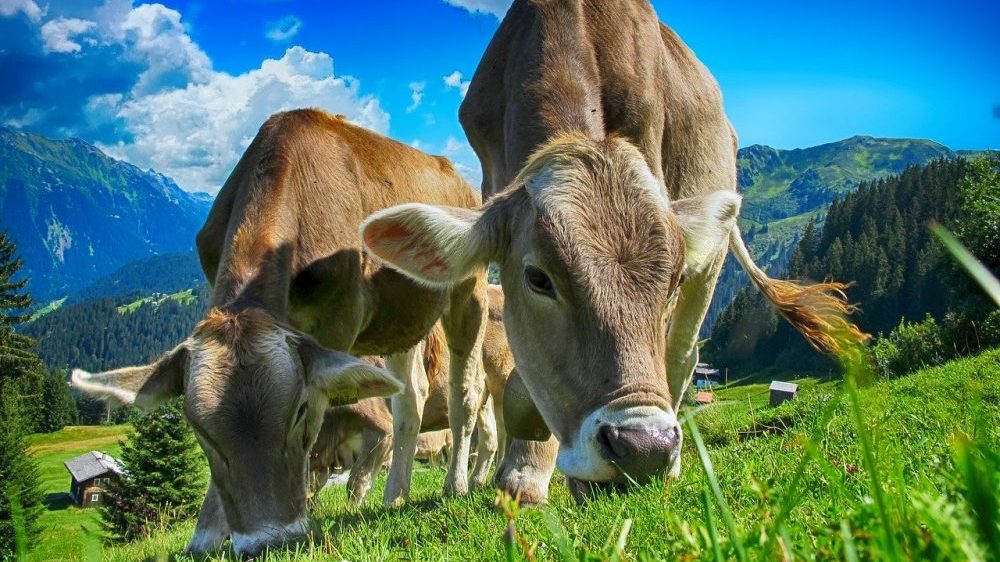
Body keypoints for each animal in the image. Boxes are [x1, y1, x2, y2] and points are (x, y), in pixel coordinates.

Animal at [68, 107, 490, 552]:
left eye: (300, 410)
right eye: (198, 429)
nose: (269, 541)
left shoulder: (337, 323)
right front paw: (207, 535)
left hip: (469, 292)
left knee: (466, 392)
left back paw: (456, 485)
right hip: (400, 320)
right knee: (411, 398)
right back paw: (395, 495)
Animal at [360, 0, 868, 504]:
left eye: (673, 281)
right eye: (538, 279)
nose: (645, 448)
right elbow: (524, 380)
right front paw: (525, 472)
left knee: (682, 355)